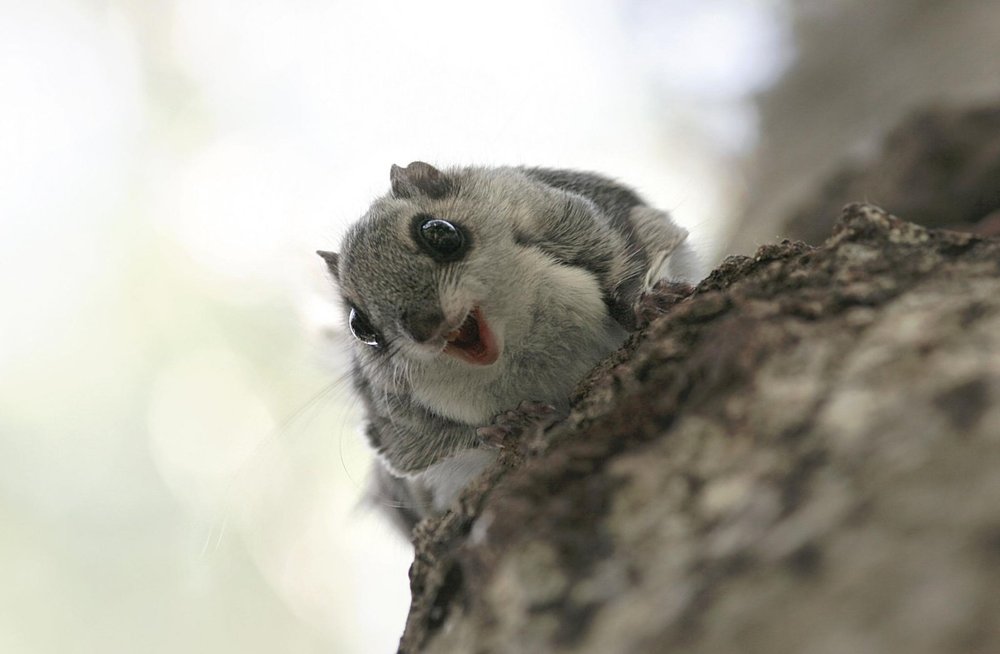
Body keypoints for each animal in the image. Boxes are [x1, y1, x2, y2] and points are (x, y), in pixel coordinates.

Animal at [316, 161, 700, 536]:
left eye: (440, 232)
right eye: (360, 326)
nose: (424, 327)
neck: (517, 346)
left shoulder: (577, 219)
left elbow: (629, 258)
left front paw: (642, 303)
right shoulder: (392, 420)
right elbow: (419, 451)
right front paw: (502, 426)